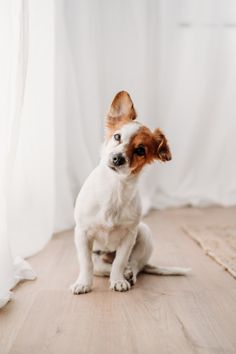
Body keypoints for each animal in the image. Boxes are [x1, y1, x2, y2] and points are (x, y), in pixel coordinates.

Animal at [70, 90, 190, 294]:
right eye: (117, 137)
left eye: (140, 150)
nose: (117, 159)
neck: (114, 188)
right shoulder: (82, 233)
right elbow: (86, 264)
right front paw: (83, 283)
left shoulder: (129, 235)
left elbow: (120, 261)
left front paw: (118, 280)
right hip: (99, 256)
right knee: (101, 266)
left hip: (144, 233)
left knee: (134, 265)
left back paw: (128, 274)